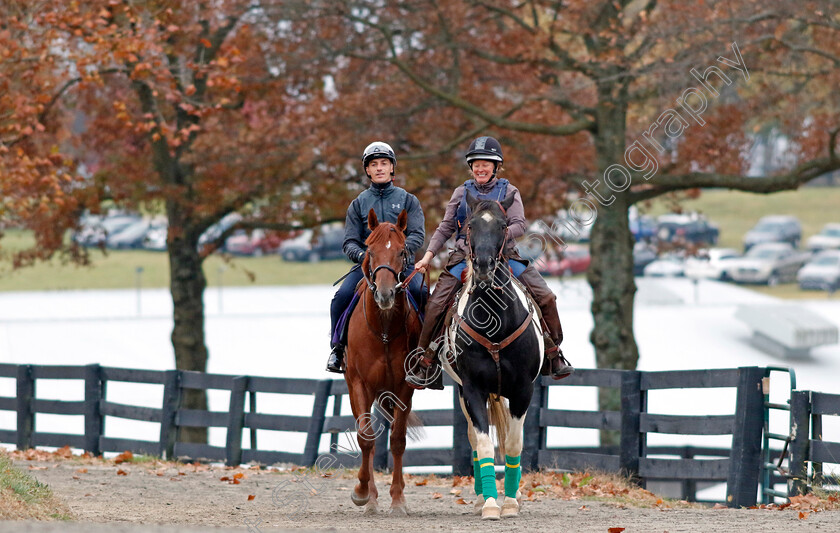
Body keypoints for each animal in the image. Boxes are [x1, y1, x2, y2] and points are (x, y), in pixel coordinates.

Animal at [342, 209, 420, 516]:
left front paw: (398, 500)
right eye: (370, 252)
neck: (385, 329)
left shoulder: (404, 387)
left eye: (401, 252)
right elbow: (366, 438)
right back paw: (372, 499)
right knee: (370, 441)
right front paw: (362, 493)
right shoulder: (359, 384)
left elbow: (397, 441)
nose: (385, 294)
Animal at [442, 191, 540, 520]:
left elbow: (513, 444)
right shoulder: (473, 389)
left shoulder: (523, 390)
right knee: (474, 439)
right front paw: (490, 504)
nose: (484, 265)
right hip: (464, 391)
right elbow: (484, 445)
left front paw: (509, 502)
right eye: (470, 225)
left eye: (503, 225)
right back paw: (480, 495)